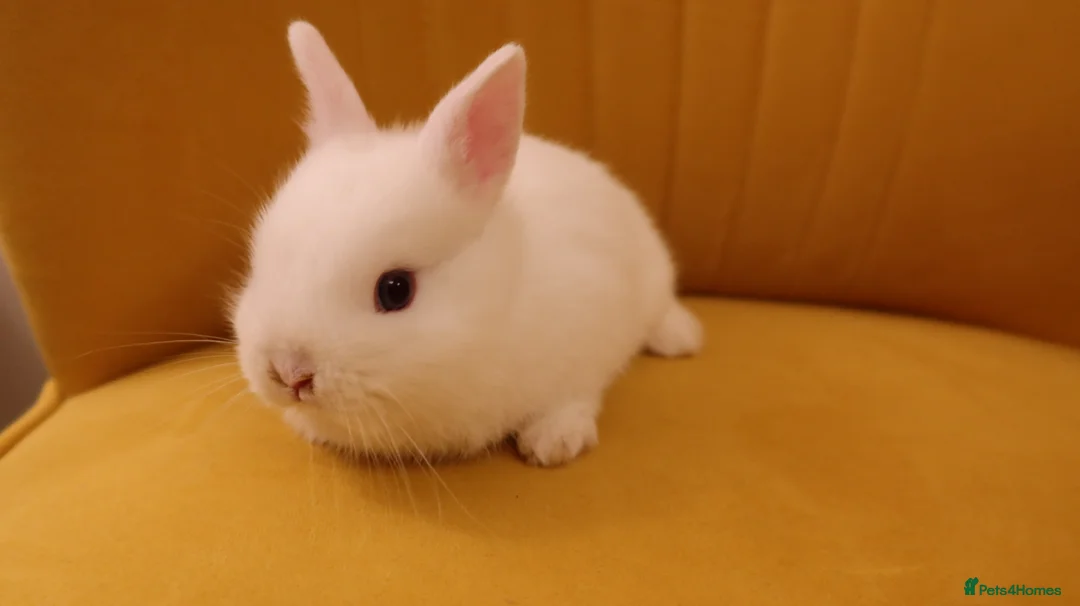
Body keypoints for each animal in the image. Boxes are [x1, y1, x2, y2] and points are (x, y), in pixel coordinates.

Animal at [229, 21, 704, 467]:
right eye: (261, 265)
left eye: (396, 289)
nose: (289, 373)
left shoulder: (586, 343)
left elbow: (574, 396)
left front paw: (553, 443)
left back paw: (682, 339)